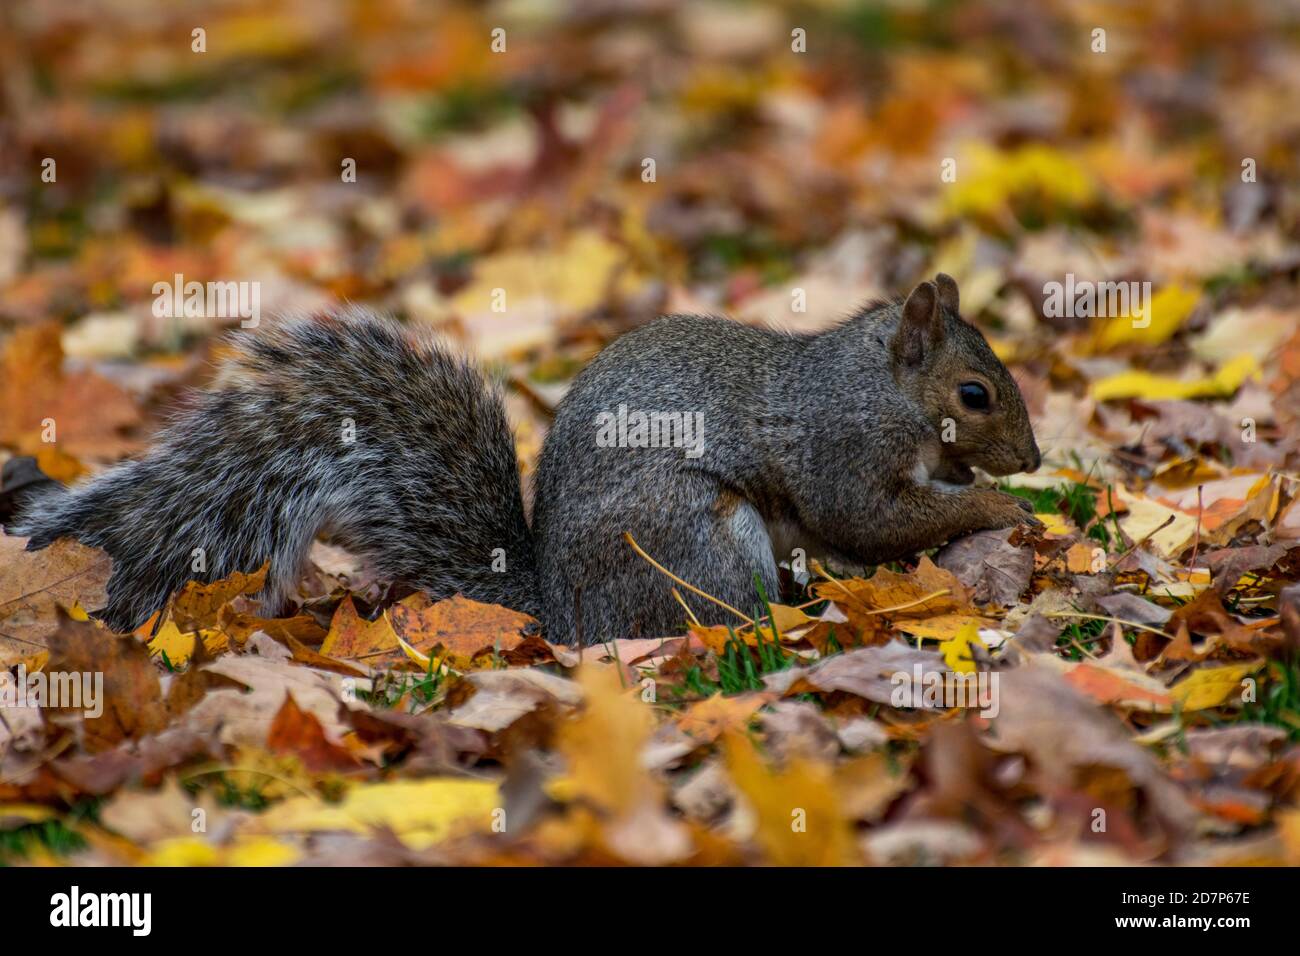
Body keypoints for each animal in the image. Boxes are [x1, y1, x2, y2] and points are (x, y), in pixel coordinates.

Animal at [10, 273, 1040, 647]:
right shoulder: (840, 449)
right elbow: (871, 518)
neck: (879, 388)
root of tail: (564, 615)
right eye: (974, 394)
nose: (1032, 458)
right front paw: (1002, 511)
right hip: (699, 537)